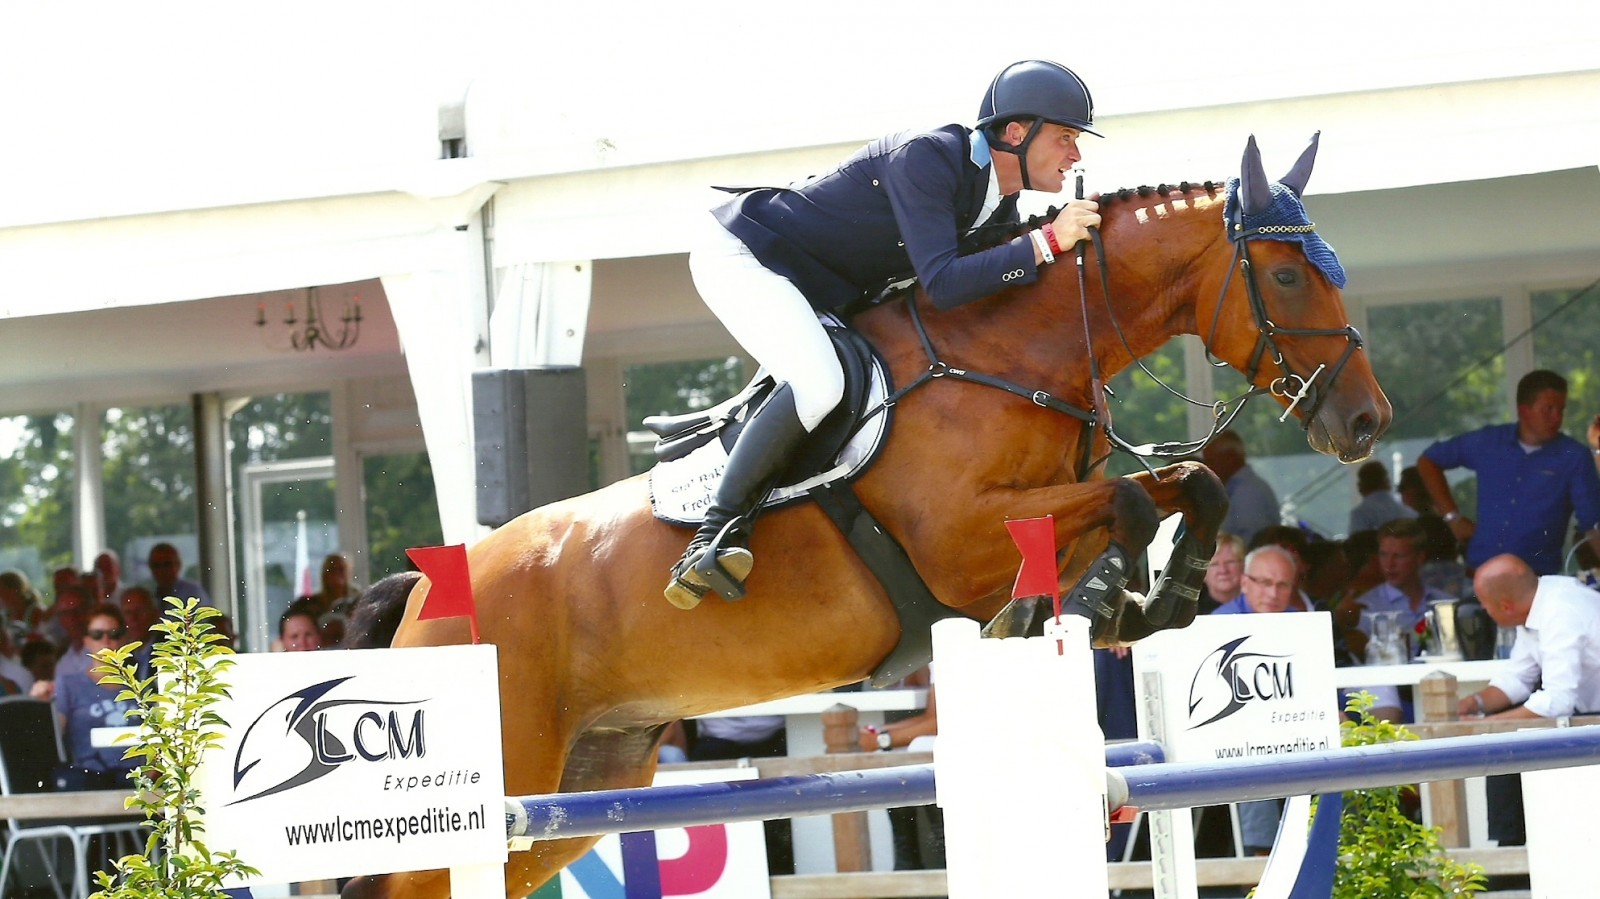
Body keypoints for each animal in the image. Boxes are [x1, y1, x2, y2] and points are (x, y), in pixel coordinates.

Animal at [340, 134, 1388, 895]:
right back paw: (711, 555)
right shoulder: (960, 543)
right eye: (1287, 276)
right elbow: (1129, 499)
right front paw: (1091, 606)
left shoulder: (1038, 516)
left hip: (585, 780)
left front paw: (1150, 598)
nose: (1367, 422)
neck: (1010, 357)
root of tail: (422, 593)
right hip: (503, 775)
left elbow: (1185, 486)